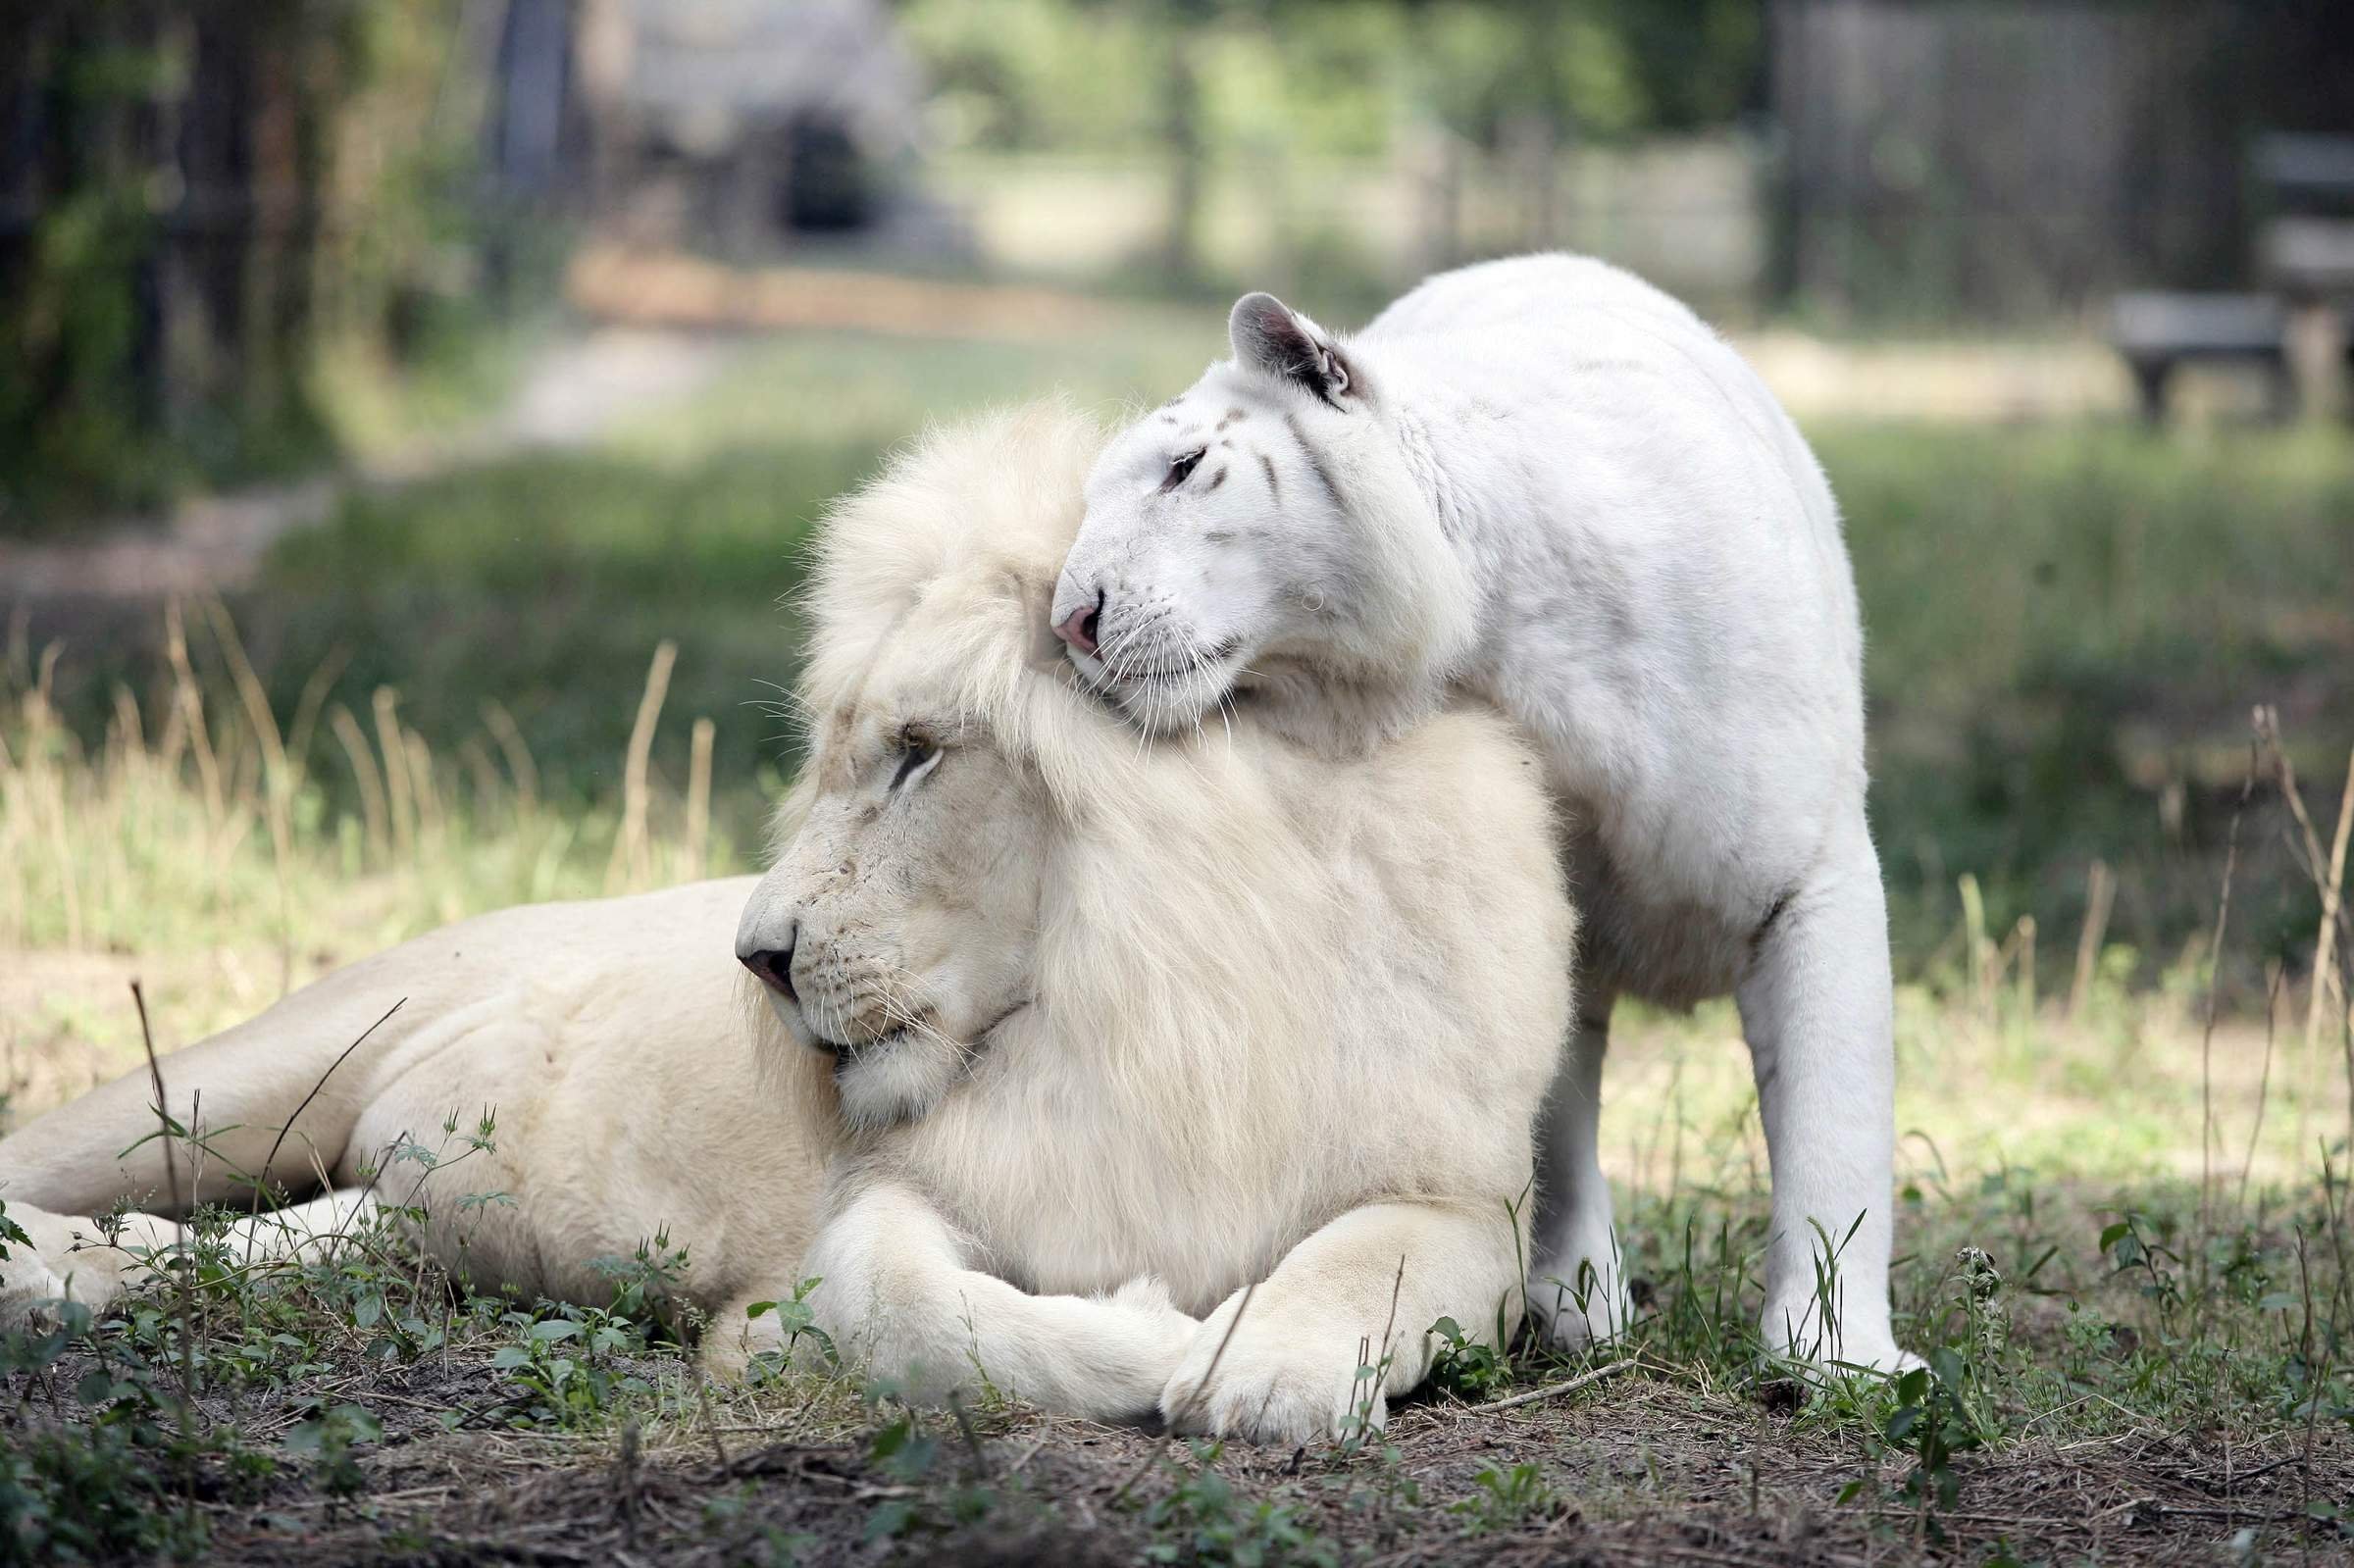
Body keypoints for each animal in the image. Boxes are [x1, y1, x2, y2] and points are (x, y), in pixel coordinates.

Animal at [14, 397, 1581, 1431]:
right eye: (838, 755)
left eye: (918, 751)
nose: (754, 958)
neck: (1159, 1000)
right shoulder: (899, 1195)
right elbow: (910, 1312)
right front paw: (1147, 1332)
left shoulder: (1469, 1198)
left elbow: (1367, 1257)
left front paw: (1267, 1365)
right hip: (246, 1071)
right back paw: (38, 1264)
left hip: (387, 1205)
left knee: (261, 1239)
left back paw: (92, 1272)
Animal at [1049, 253, 1911, 1365]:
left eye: (1186, 466)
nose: (1069, 621)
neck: (1505, 630)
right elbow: (1551, 1110)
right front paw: (1580, 1301)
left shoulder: (1809, 874)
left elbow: (1835, 1120)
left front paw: (1839, 1354)